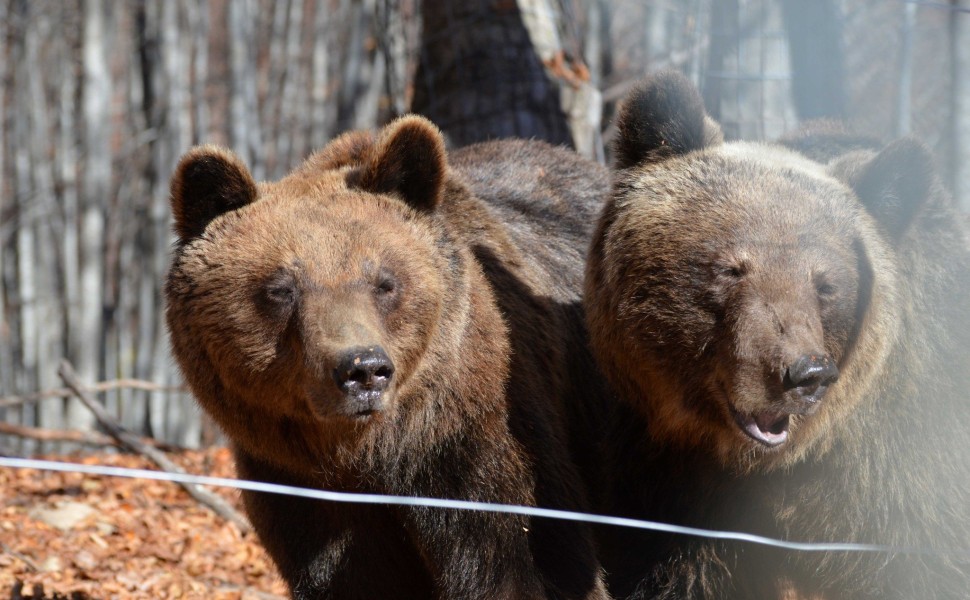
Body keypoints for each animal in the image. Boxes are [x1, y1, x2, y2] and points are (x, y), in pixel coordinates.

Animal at [164, 116, 608, 600]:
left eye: (384, 281)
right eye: (281, 288)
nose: (363, 370)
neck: (375, 452)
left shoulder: (480, 453)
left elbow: (528, 566)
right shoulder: (304, 494)